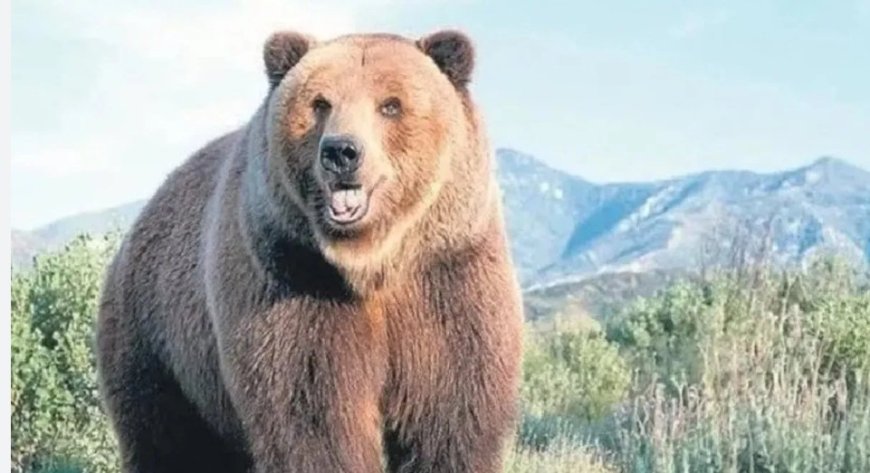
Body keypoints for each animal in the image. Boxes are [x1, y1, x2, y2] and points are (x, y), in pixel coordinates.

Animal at [95, 29, 524, 473]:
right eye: (320, 103)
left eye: (390, 104)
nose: (341, 151)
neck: (372, 263)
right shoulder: (294, 281)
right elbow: (313, 417)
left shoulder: (448, 277)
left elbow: (452, 416)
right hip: (159, 343)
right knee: (170, 440)